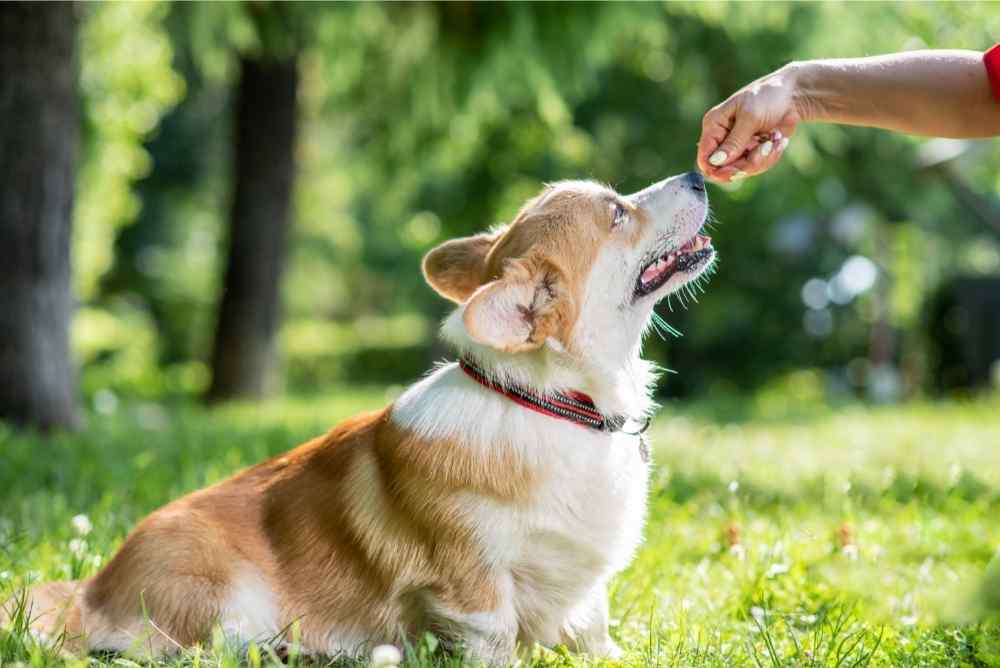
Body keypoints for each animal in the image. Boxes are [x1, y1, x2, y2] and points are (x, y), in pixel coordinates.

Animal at [3, 171, 716, 664]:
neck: (554, 404)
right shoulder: (473, 584)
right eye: (618, 211)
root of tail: (93, 587)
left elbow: (592, 627)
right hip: (218, 589)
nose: (698, 174)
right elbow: (495, 637)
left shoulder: (583, 587)